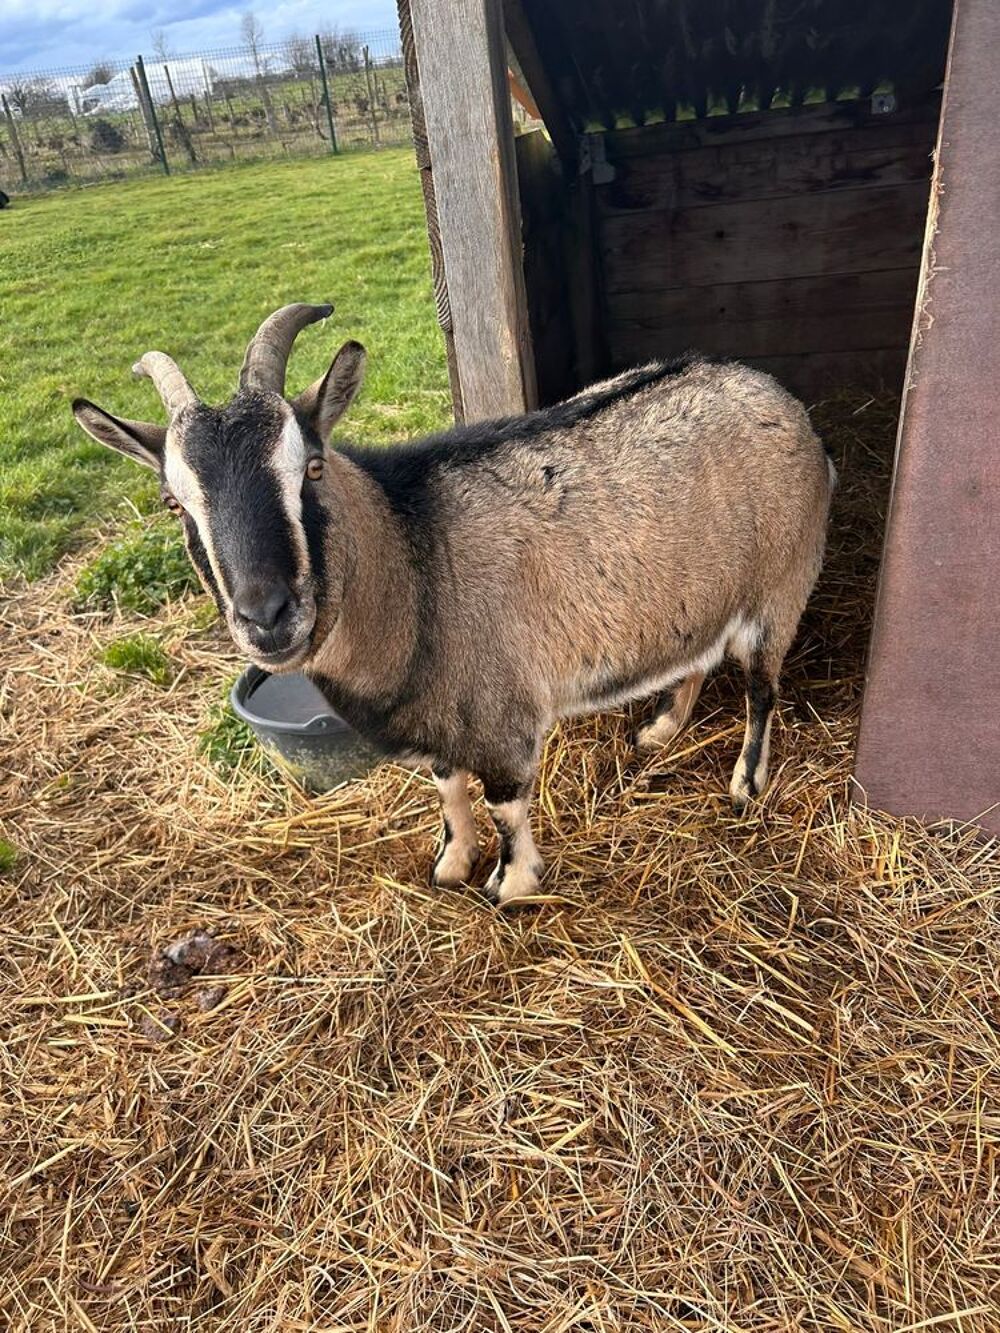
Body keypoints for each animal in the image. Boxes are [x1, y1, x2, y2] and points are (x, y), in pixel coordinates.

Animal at [72, 303, 834, 904]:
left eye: (311, 467)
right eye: (174, 503)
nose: (266, 617)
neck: (414, 560)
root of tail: (778, 396)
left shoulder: (500, 711)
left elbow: (504, 803)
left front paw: (510, 882)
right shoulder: (440, 708)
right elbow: (446, 787)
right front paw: (450, 861)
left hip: (781, 583)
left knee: (762, 688)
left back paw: (745, 781)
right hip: (702, 590)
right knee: (697, 653)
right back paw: (662, 728)